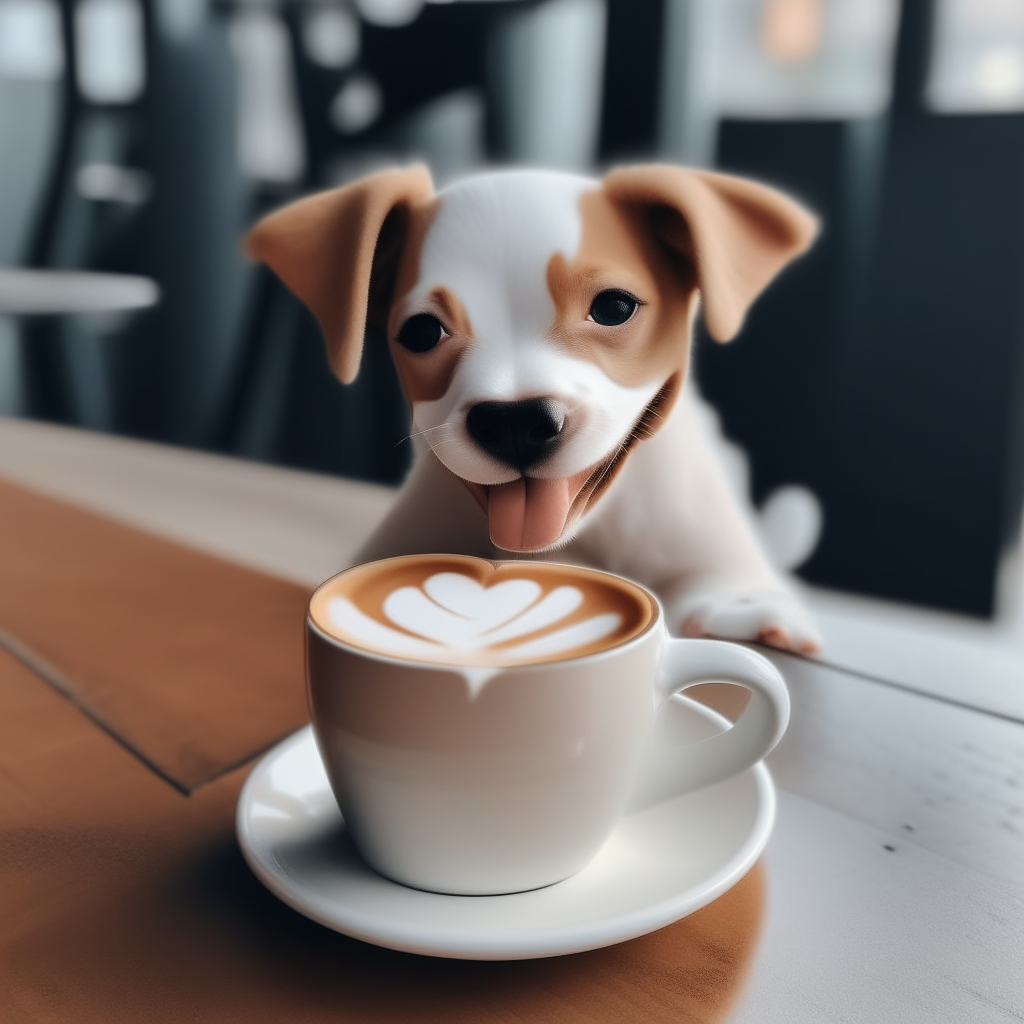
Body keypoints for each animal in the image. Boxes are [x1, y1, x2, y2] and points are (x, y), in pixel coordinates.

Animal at [247, 163, 823, 651]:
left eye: (614, 307)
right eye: (421, 332)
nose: (514, 422)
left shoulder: (710, 548)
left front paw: (745, 610)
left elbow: (727, 585)